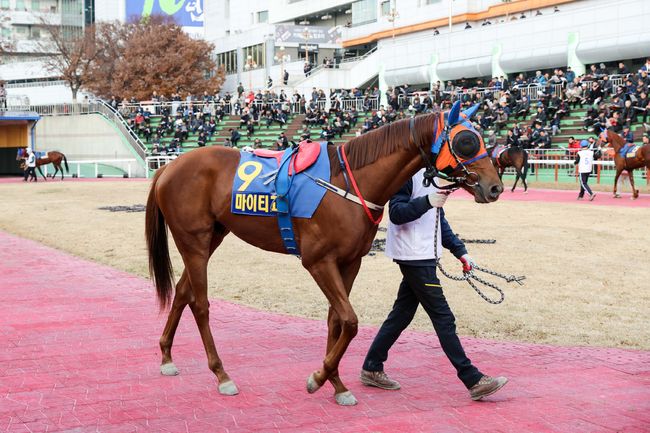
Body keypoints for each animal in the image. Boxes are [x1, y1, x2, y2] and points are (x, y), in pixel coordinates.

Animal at [144, 101, 504, 404]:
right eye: (467, 141)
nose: (495, 187)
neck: (347, 181)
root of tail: (168, 168)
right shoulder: (318, 262)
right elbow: (350, 320)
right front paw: (319, 377)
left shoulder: (350, 262)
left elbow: (336, 321)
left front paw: (336, 384)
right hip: (194, 241)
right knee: (200, 303)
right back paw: (222, 375)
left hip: (212, 238)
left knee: (182, 292)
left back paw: (166, 356)